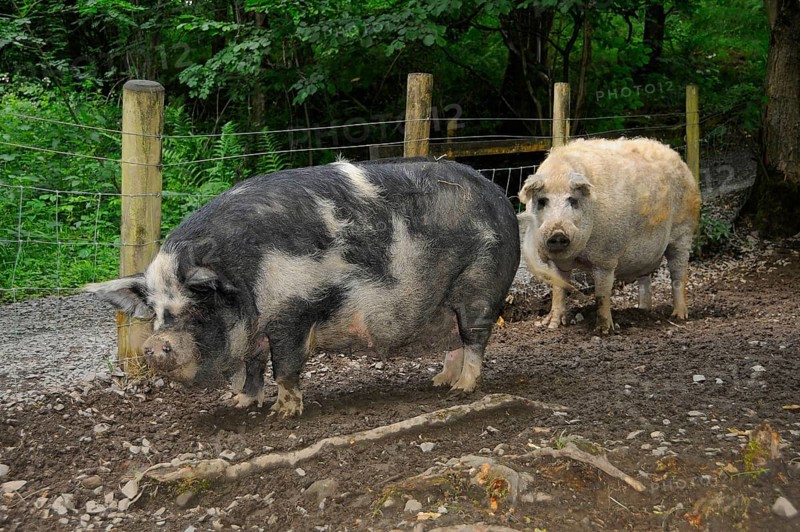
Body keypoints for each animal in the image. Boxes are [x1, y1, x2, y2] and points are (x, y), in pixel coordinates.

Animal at [85, 158, 520, 417]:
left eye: (196, 306)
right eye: (157, 314)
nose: (154, 345)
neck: (247, 279)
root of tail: (500, 196)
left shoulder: (294, 312)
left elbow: (285, 366)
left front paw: (283, 412)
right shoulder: (256, 332)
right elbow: (254, 367)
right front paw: (241, 402)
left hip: (480, 287)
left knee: (475, 338)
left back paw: (462, 390)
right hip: (447, 300)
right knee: (454, 341)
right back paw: (438, 383)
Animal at [517, 138, 701, 334]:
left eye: (573, 200)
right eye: (542, 201)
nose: (558, 233)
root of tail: (680, 160)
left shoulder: (606, 256)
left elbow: (602, 293)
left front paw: (603, 330)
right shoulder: (553, 261)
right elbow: (558, 289)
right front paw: (551, 325)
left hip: (683, 232)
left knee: (678, 273)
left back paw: (679, 316)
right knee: (645, 278)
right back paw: (642, 311)